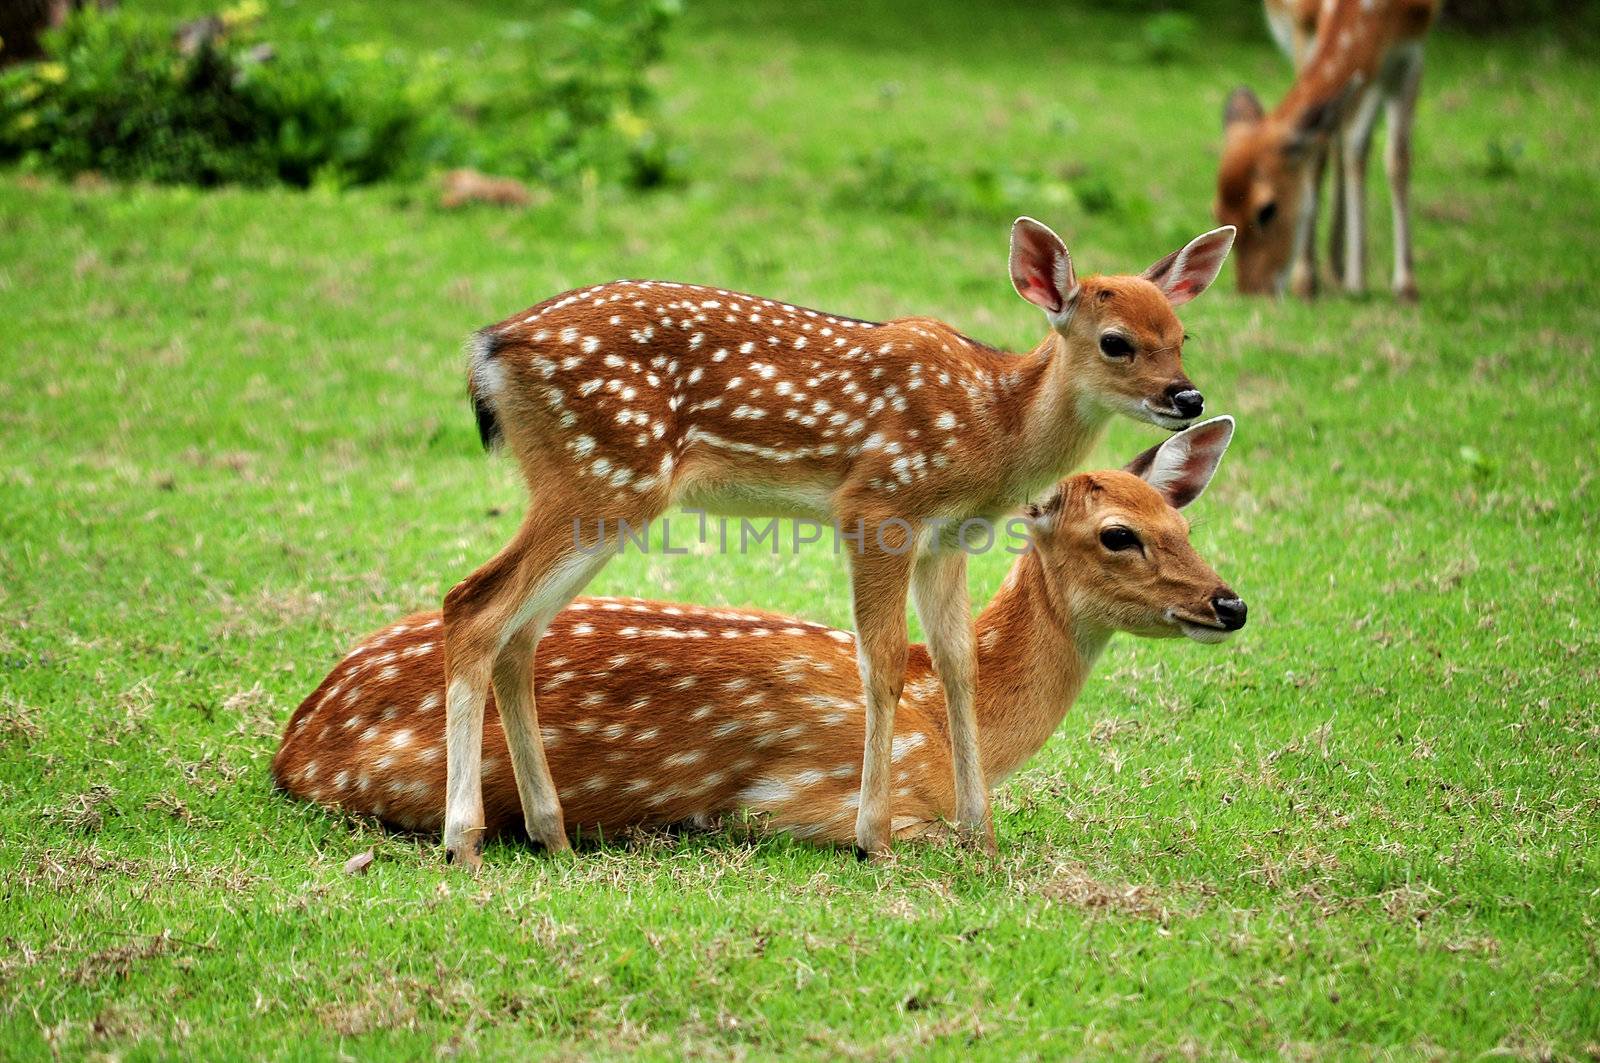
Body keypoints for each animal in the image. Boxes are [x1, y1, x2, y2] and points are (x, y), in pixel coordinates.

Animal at [275, 419, 1248, 845]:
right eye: (1118, 534)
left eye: (1183, 519)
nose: (1230, 604)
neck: (936, 717)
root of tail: (291, 743)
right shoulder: (811, 800)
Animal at [444, 216, 1228, 864]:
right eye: (1115, 341)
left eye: (1181, 336)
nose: (1188, 397)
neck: (994, 423)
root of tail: (489, 348)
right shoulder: (878, 503)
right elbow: (881, 662)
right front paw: (870, 838)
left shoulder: (950, 537)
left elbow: (957, 664)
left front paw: (981, 836)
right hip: (602, 474)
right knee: (473, 603)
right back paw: (464, 840)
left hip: (596, 491)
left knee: (520, 632)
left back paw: (551, 833)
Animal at [1216, 0, 1446, 300]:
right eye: (1218, 213)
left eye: (1266, 210)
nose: (1253, 291)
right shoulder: (1302, 25)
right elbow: (1321, 152)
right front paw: (1306, 280)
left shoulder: (1411, 47)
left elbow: (1395, 157)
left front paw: (1402, 284)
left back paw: (1340, 268)